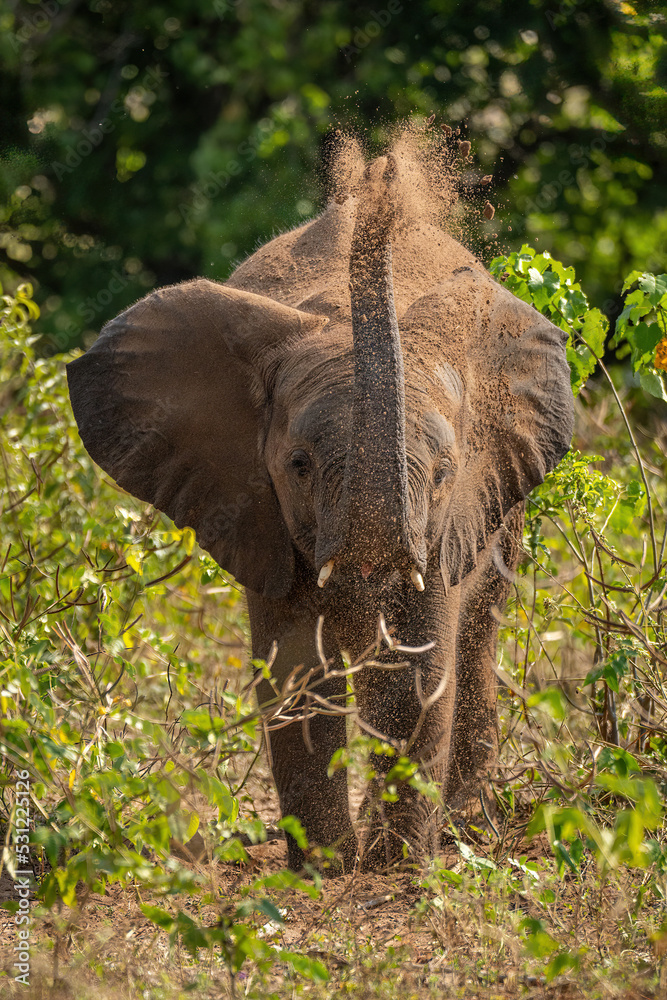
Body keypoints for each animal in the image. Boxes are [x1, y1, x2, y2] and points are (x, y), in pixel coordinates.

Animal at [66, 149, 574, 873]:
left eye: (444, 472)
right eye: (299, 466)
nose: (382, 170)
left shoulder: (448, 517)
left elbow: (418, 667)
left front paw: (394, 869)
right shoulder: (259, 513)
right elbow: (295, 666)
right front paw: (326, 870)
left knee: (478, 636)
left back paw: (465, 832)